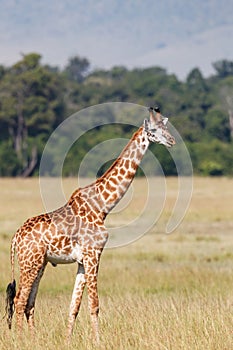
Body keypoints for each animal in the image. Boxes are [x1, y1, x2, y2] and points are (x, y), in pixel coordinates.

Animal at [5, 106, 176, 342]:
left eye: (165, 127)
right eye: (154, 130)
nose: (171, 140)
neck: (103, 206)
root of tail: (15, 238)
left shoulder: (82, 260)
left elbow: (74, 306)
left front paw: (67, 341)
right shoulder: (94, 254)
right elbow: (94, 305)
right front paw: (98, 341)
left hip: (40, 263)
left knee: (29, 302)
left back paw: (33, 339)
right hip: (29, 262)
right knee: (20, 300)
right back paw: (22, 340)